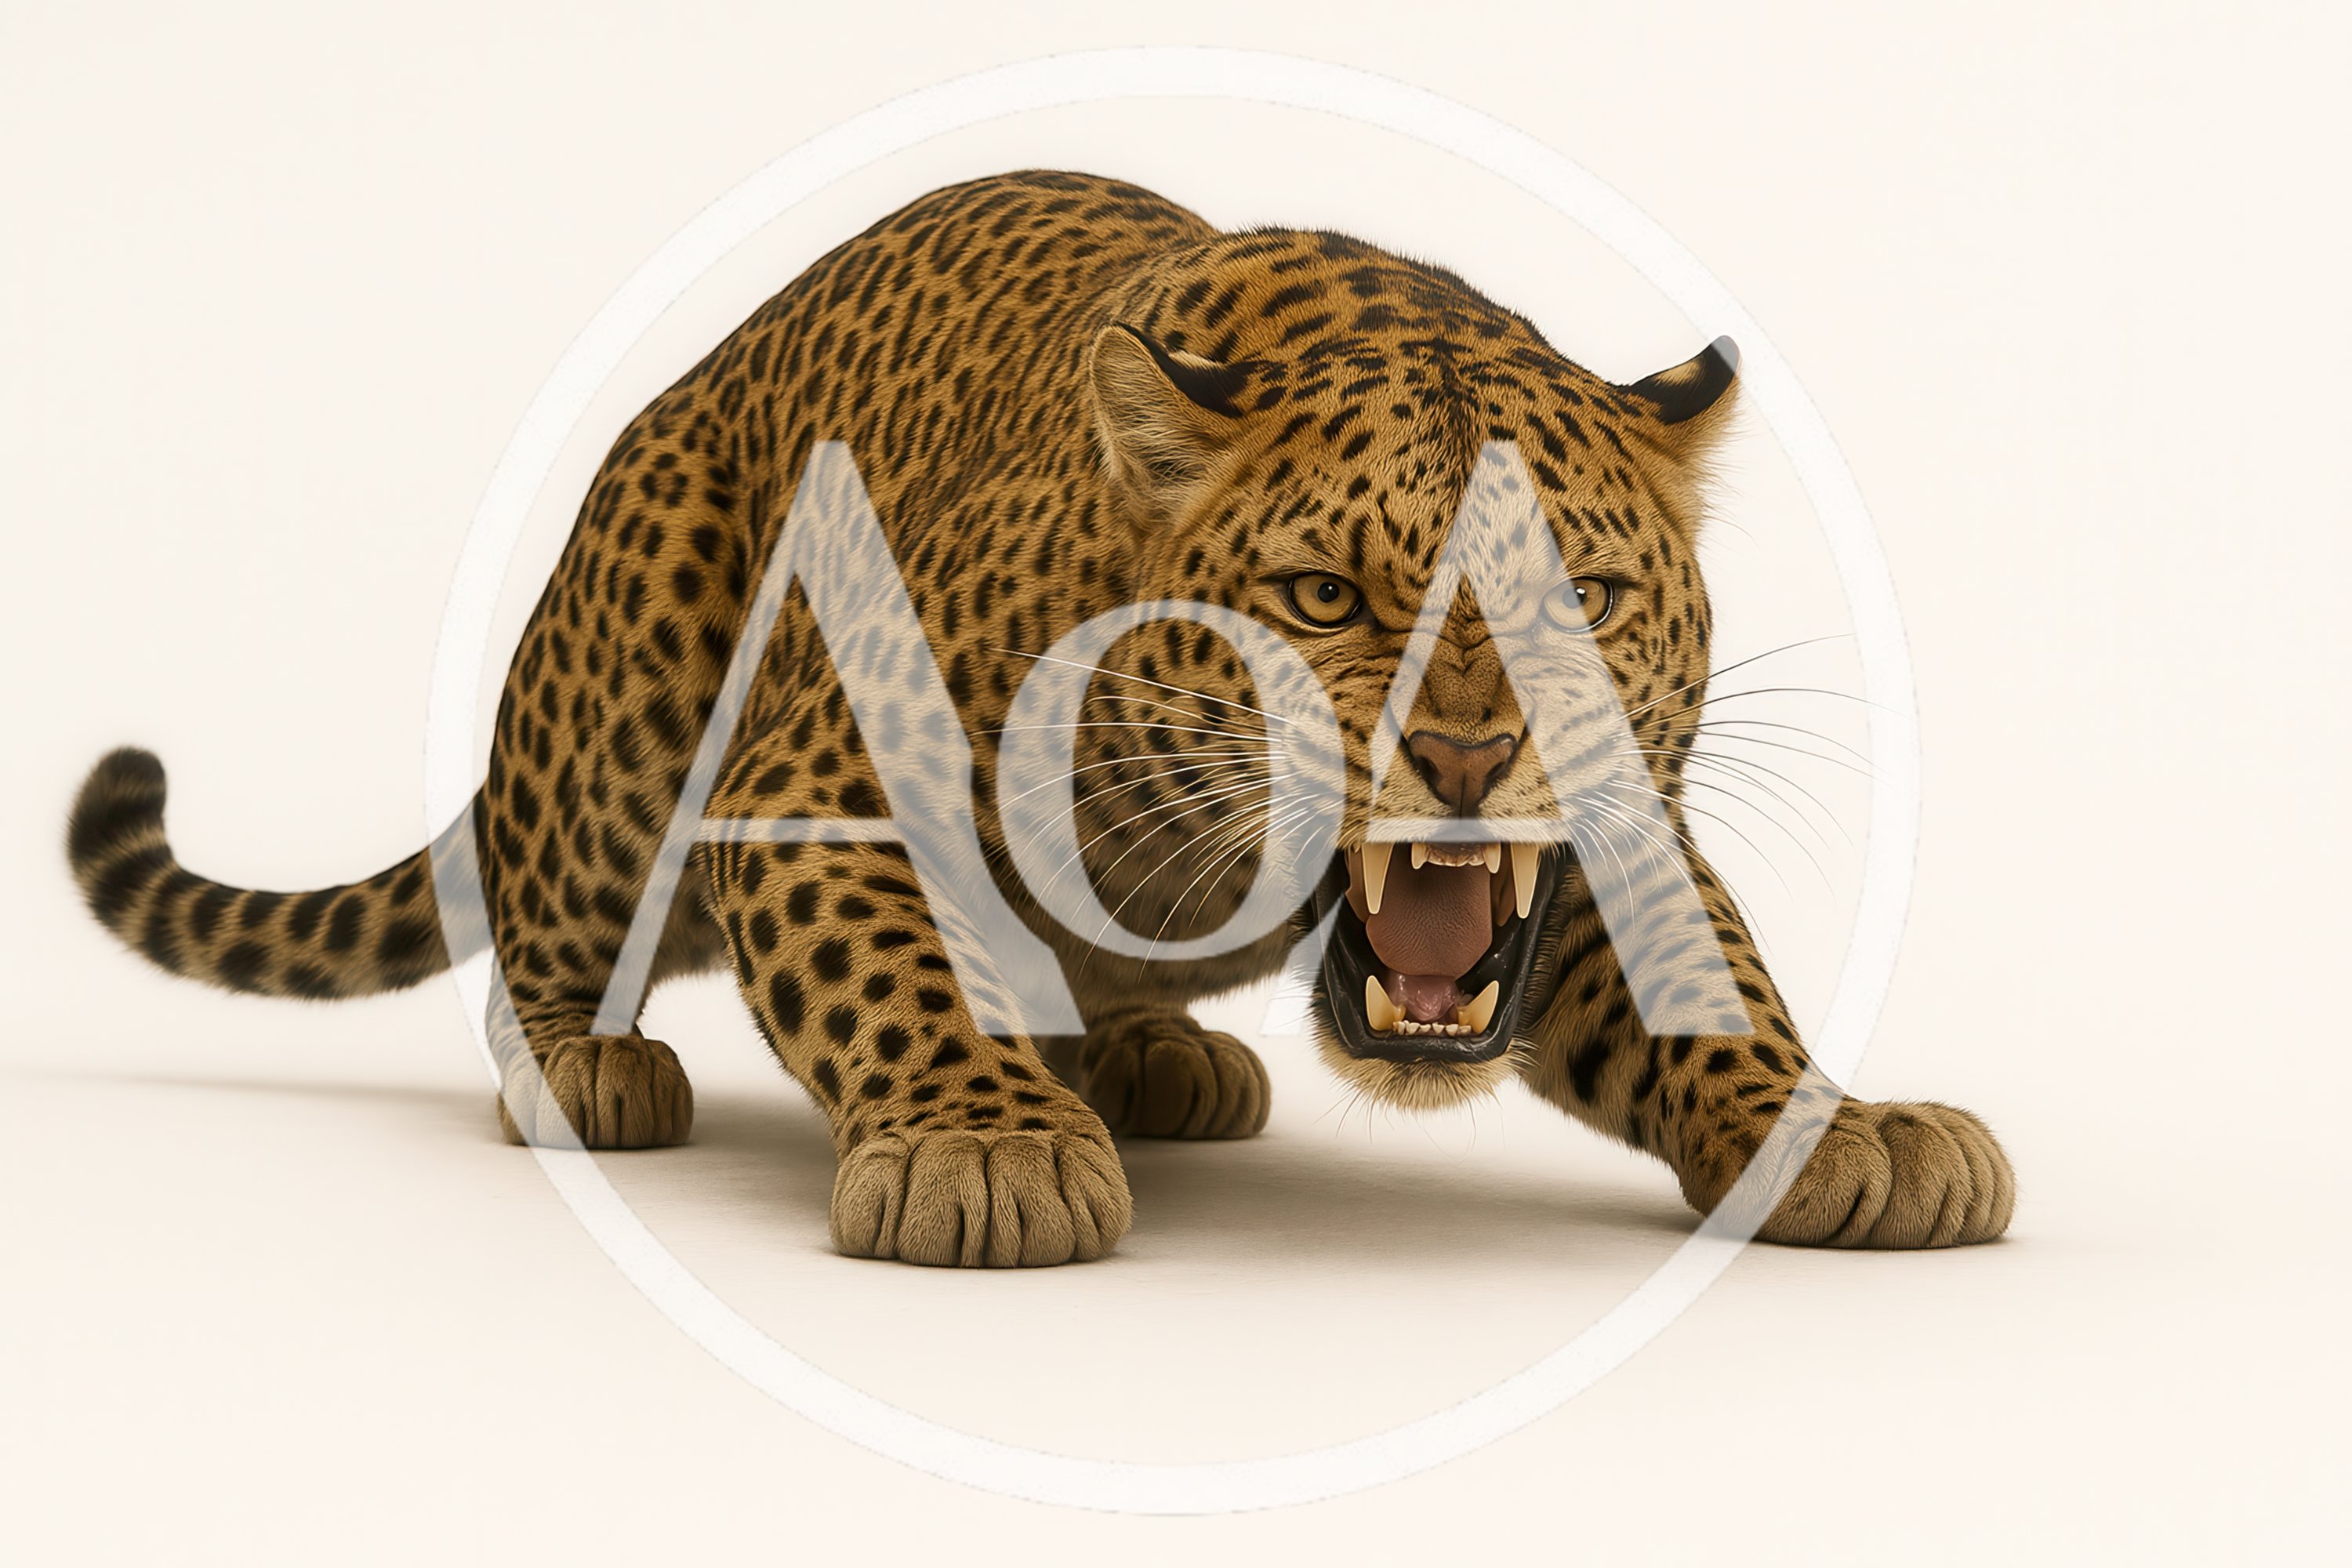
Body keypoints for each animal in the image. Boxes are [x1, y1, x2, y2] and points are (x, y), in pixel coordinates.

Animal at [66, 170, 2014, 1266]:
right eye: (1327, 600)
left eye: (1581, 605)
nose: (1465, 759)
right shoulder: (820, 779)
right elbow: (893, 972)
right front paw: (984, 1151)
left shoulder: (1605, 836)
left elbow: (1705, 977)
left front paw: (1840, 1125)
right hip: (635, 660)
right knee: (550, 926)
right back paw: (588, 1062)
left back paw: (1145, 1053)